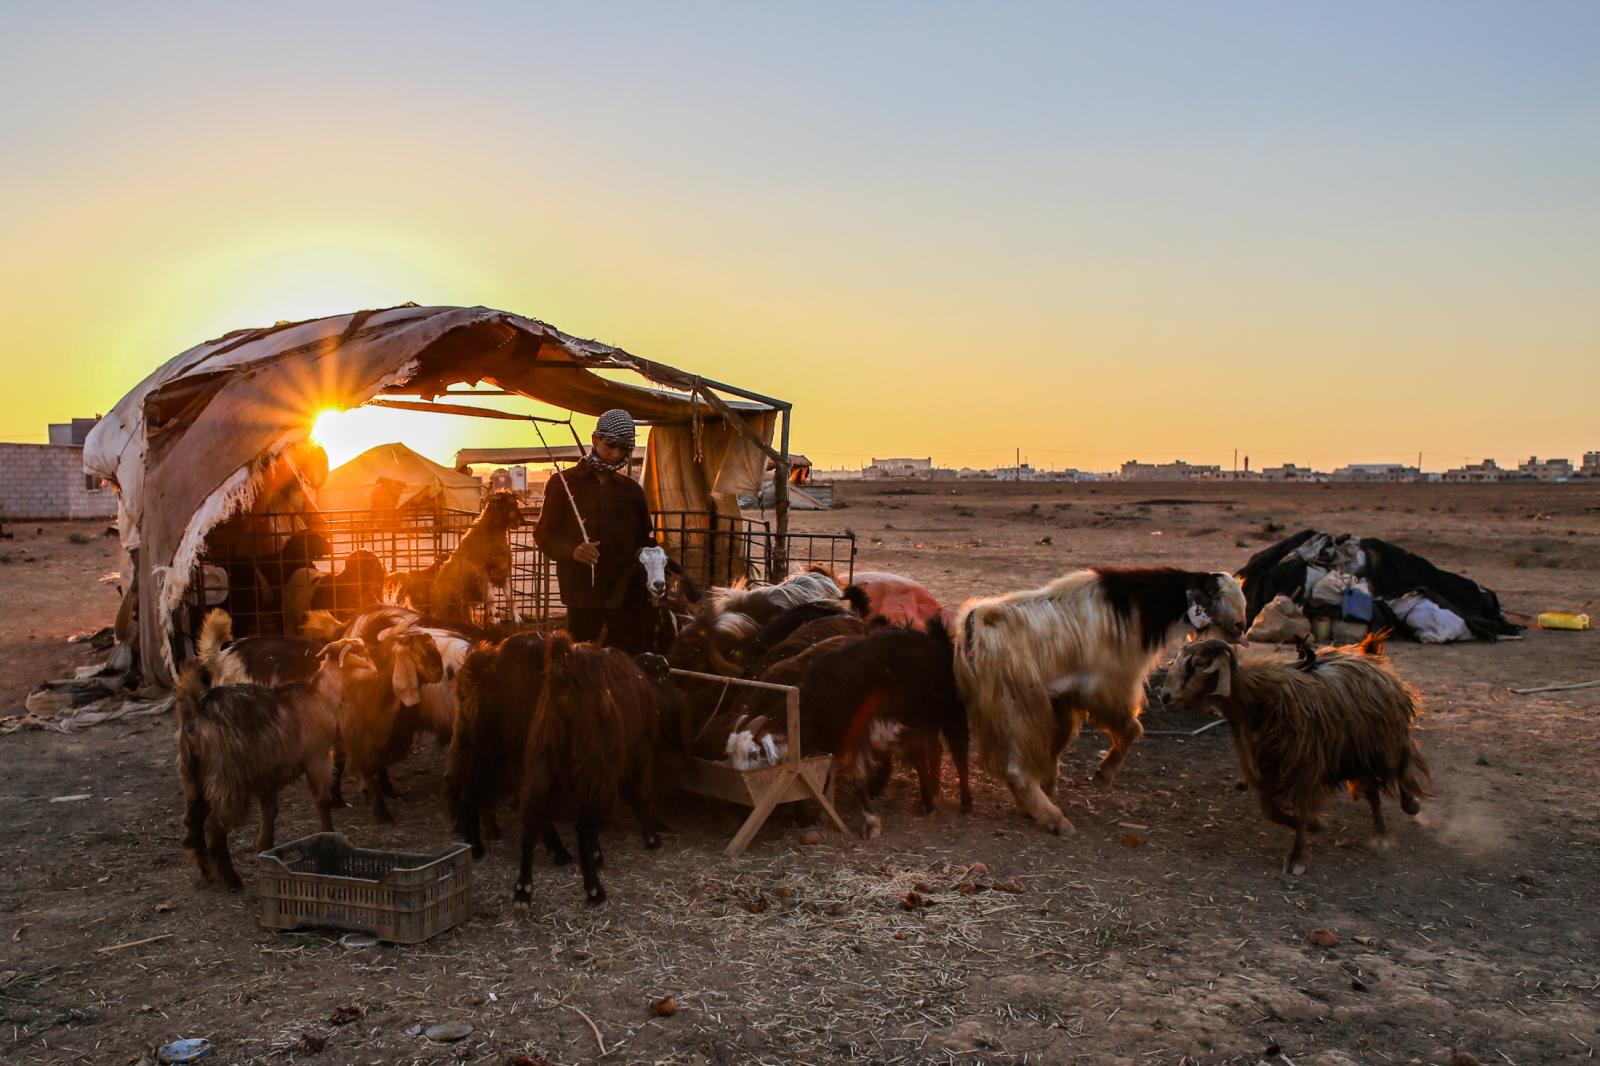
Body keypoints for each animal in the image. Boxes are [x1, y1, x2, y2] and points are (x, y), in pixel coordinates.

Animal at [176, 633, 377, 883]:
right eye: (362, 655)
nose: (377, 673)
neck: (321, 696)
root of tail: (197, 710)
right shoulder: (317, 758)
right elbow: (322, 801)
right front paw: (328, 836)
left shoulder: (268, 772)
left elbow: (270, 810)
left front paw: (265, 847)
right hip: (227, 778)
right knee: (214, 825)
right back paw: (231, 879)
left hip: (193, 774)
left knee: (193, 820)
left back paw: (205, 870)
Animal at [512, 633, 662, 902]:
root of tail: (564, 669)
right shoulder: (638, 753)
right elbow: (641, 794)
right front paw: (651, 837)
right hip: (594, 763)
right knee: (584, 823)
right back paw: (594, 889)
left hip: (543, 759)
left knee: (532, 815)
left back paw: (523, 890)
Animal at [947, 569, 1248, 832]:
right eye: (1214, 593)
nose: (1240, 626)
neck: (1131, 612)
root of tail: (973, 627)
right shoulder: (1107, 689)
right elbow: (1132, 729)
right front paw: (1103, 775)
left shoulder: (1063, 694)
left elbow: (1062, 737)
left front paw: (1050, 781)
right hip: (1017, 705)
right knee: (1014, 767)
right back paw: (1054, 819)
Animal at [1158, 630, 1433, 870]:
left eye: (1198, 664)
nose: (1165, 697)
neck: (1258, 697)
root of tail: (1373, 660)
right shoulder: (1265, 766)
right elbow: (1272, 811)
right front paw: (1315, 824)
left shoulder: (1304, 764)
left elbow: (1298, 810)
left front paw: (1297, 858)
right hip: (1357, 753)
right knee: (1374, 793)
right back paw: (1381, 833)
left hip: (1384, 744)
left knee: (1401, 770)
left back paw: (1409, 808)